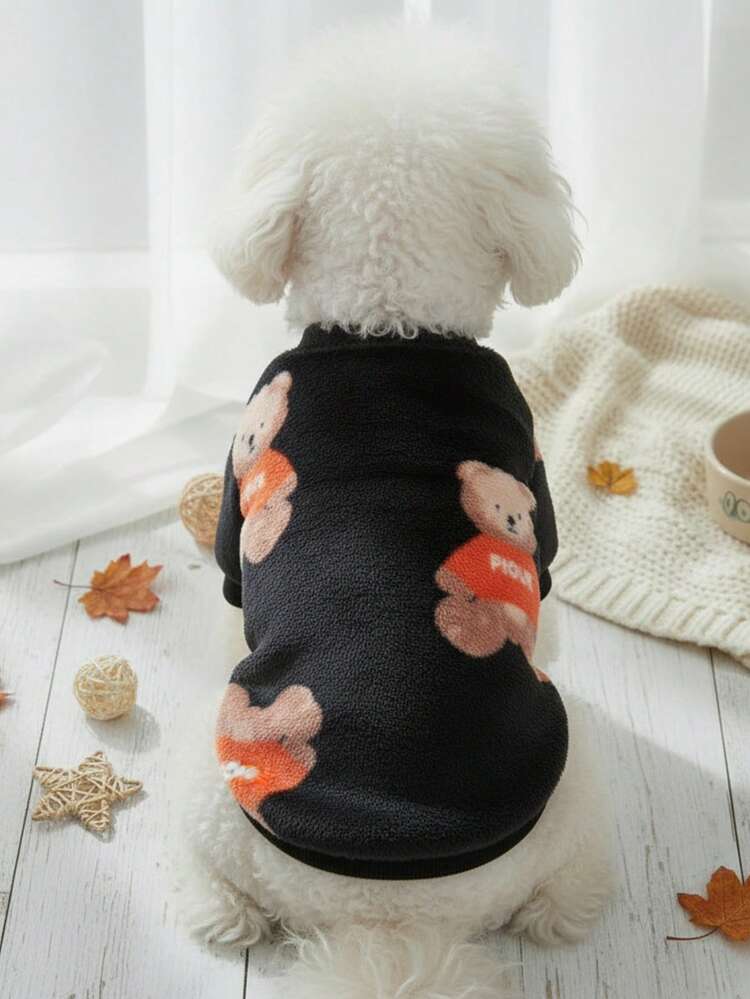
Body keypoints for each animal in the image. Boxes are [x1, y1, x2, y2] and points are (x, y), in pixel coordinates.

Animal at [435, 460, 541, 661]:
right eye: (497, 506)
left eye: (521, 515)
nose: (512, 519)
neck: (506, 542)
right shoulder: (475, 548)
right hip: (491, 611)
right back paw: (457, 627)